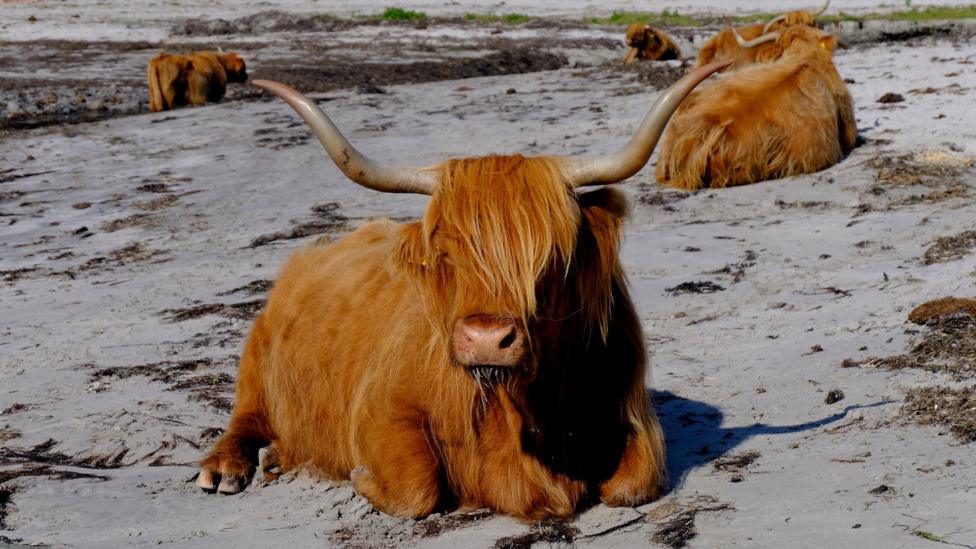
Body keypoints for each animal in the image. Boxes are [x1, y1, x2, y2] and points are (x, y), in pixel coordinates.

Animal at [195, 61, 729, 520]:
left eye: (551, 258)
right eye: (446, 255)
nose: (487, 339)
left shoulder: (631, 411)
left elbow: (633, 484)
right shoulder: (379, 410)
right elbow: (415, 489)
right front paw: (359, 476)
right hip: (255, 364)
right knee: (244, 417)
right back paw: (228, 468)